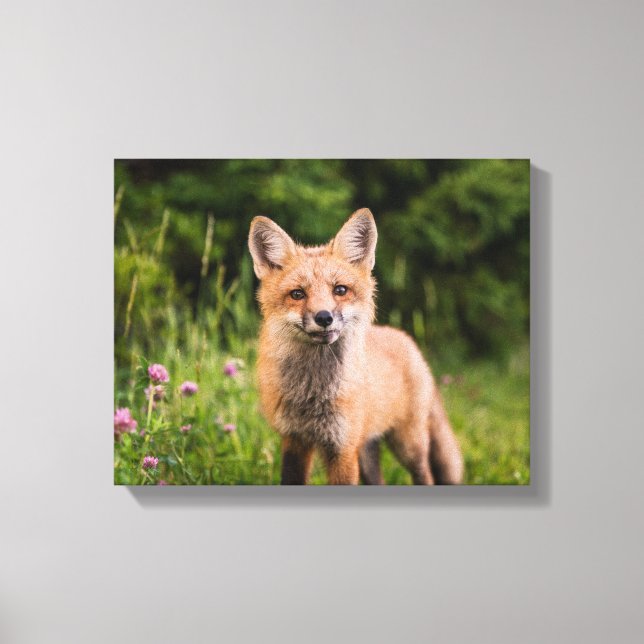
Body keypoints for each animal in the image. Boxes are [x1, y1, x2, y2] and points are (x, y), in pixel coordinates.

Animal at [248, 208, 464, 485]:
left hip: (408, 445)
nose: (324, 317)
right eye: (297, 294)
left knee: (426, 475)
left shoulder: (343, 447)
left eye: (340, 290)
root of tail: (405, 339)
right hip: (367, 450)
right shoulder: (295, 440)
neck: (313, 393)